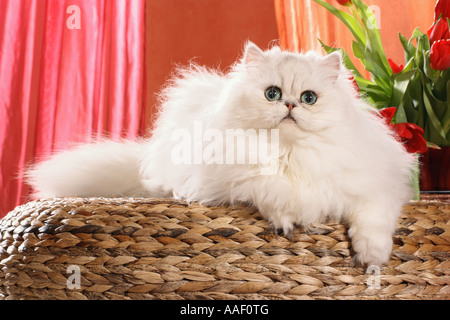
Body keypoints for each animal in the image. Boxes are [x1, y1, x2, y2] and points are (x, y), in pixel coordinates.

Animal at [27, 43, 414, 268]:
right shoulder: (235, 176)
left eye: (308, 99)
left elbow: (373, 222)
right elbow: (272, 188)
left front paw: (373, 259)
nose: (289, 106)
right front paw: (288, 220)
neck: (291, 152)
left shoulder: (376, 188)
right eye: (273, 94)